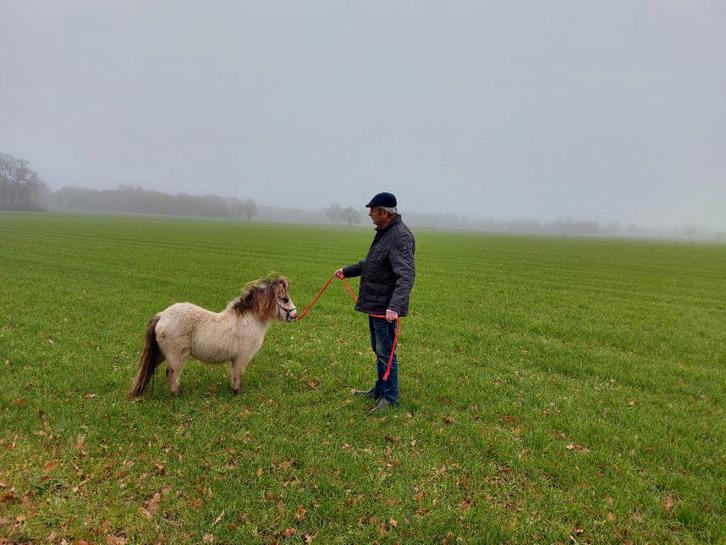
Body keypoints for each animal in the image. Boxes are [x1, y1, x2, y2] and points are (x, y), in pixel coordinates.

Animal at [130, 274, 297, 397]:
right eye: (285, 299)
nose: (295, 315)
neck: (248, 319)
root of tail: (162, 315)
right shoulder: (241, 358)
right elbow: (238, 375)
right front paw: (237, 391)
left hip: (160, 354)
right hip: (176, 356)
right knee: (171, 373)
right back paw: (177, 393)